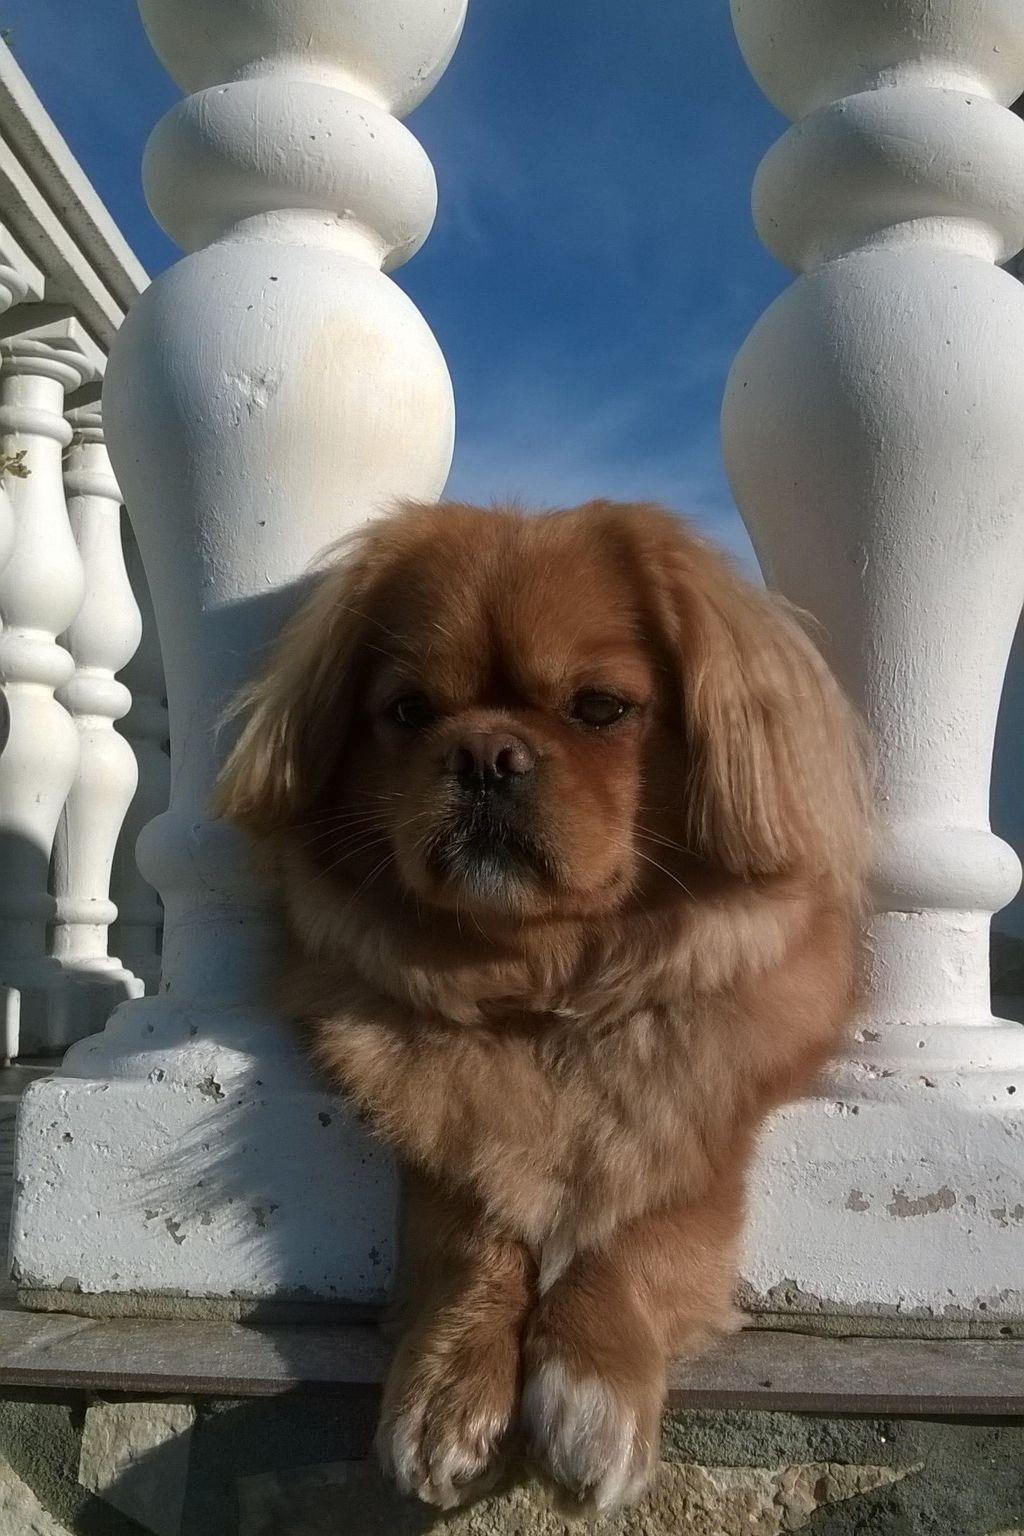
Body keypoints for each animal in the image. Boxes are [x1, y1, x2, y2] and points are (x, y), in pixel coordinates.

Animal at [215, 499, 871, 1516]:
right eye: (408, 713)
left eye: (599, 709)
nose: (484, 753)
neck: (541, 986)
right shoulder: (439, 1120)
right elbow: (467, 1224)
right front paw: (449, 1382)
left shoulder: (711, 1100)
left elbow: (648, 1213)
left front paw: (591, 1378)